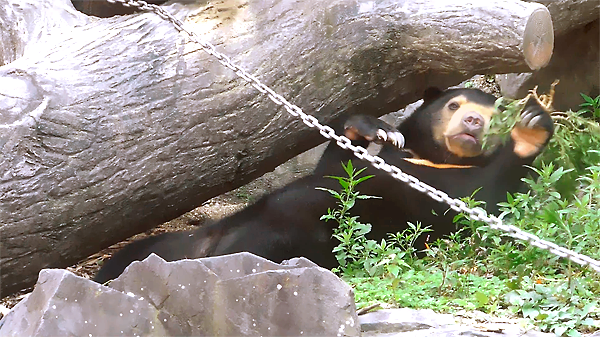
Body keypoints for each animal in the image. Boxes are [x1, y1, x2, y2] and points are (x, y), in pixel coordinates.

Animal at [94, 86, 552, 280]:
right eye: (454, 105)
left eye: (494, 117)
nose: (473, 122)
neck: (435, 158)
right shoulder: (387, 162)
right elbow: (338, 167)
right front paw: (373, 127)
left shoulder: (452, 191)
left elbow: (483, 204)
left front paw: (531, 125)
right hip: (176, 241)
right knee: (130, 255)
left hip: (287, 242)